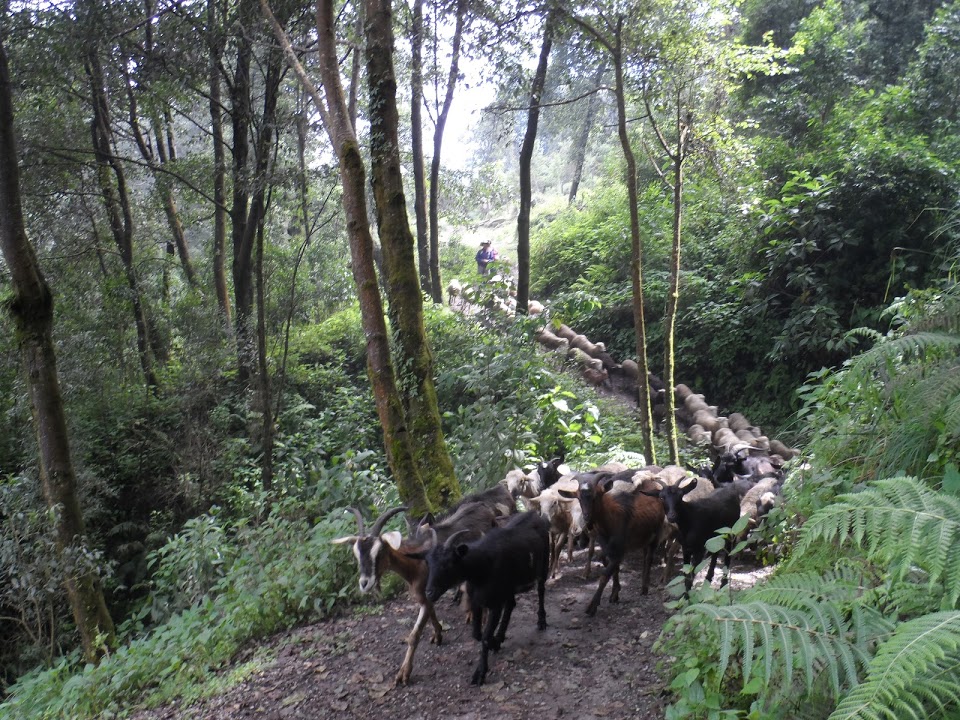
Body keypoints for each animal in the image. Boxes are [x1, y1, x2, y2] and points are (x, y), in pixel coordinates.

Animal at [334, 506, 442, 688]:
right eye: (356, 554)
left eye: (379, 552)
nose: (364, 583)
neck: (416, 564)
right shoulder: (424, 597)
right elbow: (432, 613)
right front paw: (438, 634)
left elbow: (413, 636)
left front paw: (404, 674)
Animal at [418, 510, 548, 684]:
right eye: (428, 563)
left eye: (448, 563)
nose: (430, 592)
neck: (482, 566)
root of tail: (534, 514)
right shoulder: (476, 601)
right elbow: (477, 634)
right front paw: (494, 642)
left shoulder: (495, 604)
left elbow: (485, 637)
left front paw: (480, 673)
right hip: (508, 586)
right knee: (511, 604)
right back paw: (499, 637)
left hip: (544, 564)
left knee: (540, 589)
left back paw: (541, 621)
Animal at [560, 470, 664, 616]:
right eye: (579, 498)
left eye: (595, 496)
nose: (586, 517)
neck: (609, 521)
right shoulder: (607, 547)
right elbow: (608, 564)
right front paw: (615, 592)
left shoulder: (620, 549)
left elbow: (605, 575)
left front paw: (592, 607)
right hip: (644, 536)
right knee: (645, 556)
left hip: (657, 533)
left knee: (649, 558)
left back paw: (644, 588)